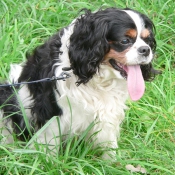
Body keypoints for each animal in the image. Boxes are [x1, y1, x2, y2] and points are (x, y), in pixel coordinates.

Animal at [0, 7, 157, 159]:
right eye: (125, 40)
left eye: (147, 39)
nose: (146, 50)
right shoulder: (52, 113)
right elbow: (49, 143)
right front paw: (47, 162)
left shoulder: (108, 111)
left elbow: (109, 142)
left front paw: (113, 162)